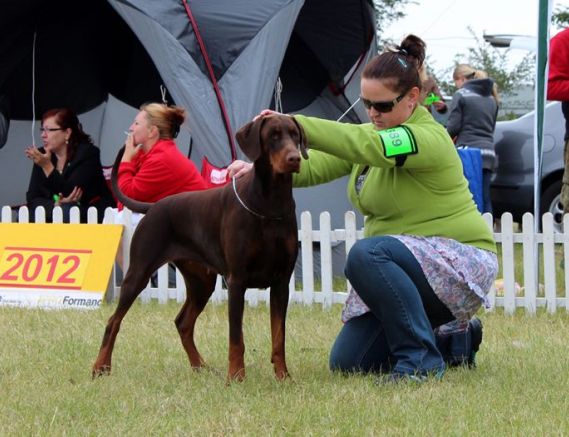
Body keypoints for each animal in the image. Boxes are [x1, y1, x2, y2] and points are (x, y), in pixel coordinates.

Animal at [92, 115, 306, 382]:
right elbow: (236, 339)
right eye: (273, 136)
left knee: (183, 323)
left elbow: (279, 337)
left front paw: (283, 377)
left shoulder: (281, 283)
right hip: (139, 272)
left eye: (295, 135)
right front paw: (236, 377)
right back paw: (100, 366)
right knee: (114, 321)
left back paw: (199, 366)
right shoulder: (237, 281)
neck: (270, 203)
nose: (294, 158)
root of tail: (153, 207)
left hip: (201, 281)